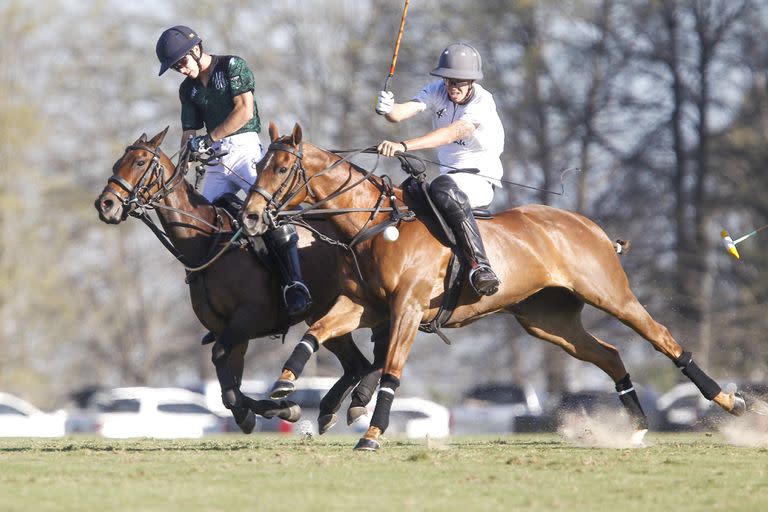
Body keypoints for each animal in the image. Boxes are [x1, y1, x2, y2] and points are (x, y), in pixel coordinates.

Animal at [96, 127, 384, 432]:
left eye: (139, 162)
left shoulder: (248, 319)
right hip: (324, 314)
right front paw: (280, 409)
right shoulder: (230, 331)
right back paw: (332, 408)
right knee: (356, 364)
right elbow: (230, 387)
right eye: (117, 164)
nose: (105, 204)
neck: (209, 244)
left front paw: (274, 409)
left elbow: (223, 371)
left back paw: (356, 400)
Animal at [243, 122, 760, 450]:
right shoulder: (362, 305)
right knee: (611, 354)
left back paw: (732, 403)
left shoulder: (407, 308)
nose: (250, 217)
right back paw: (635, 428)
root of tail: (592, 228)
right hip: (547, 320)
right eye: (260, 164)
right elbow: (314, 335)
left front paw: (371, 435)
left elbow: (390, 370)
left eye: (281, 168)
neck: (374, 225)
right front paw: (281, 390)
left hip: (612, 295)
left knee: (663, 339)